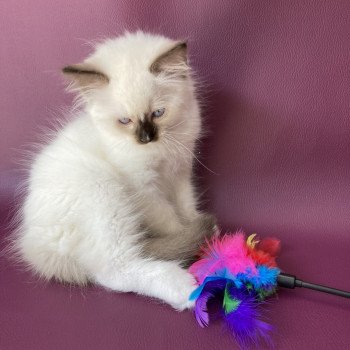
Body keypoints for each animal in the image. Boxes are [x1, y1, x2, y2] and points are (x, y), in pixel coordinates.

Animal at [12, 31, 216, 310]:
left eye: (158, 113)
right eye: (124, 121)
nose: (145, 137)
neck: (160, 151)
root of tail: (34, 243)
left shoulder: (180, 173)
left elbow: (186, 209)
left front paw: (200, 229)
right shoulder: (144, 189)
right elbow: (170, 222)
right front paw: (191, 236)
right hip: (104, 193)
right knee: (114, 272)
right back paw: (185, 290)